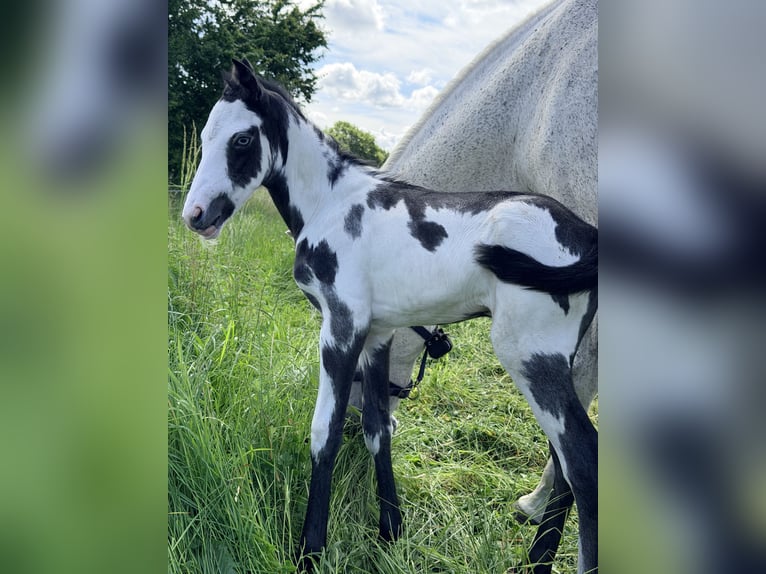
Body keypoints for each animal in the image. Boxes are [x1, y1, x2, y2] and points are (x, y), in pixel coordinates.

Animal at [181, 59, 598, 573]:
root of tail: (585, 234)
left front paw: (310, 551)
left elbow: (325, 433)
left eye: (241, 139)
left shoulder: (341, 328)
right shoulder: (377, 335)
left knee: (581, 460)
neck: (331, 203)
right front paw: (390, 531)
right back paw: (536, 560)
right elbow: (377, 430)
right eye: (205, 136)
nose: (196, 215)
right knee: (563, 462)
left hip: (530, 358)